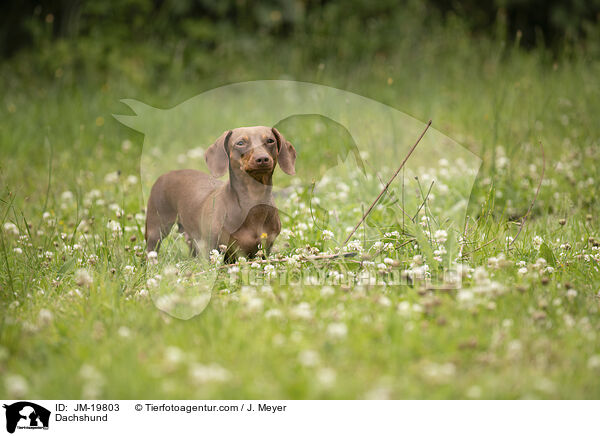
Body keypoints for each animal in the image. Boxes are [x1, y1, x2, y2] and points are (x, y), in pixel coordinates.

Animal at [145, 127, 296, 262]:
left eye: (270, 140)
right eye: (240, 143)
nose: (262, 159)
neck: (253, 202)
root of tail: (166, 174)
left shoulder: (265, 249)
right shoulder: (214, 247)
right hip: (156, 229)